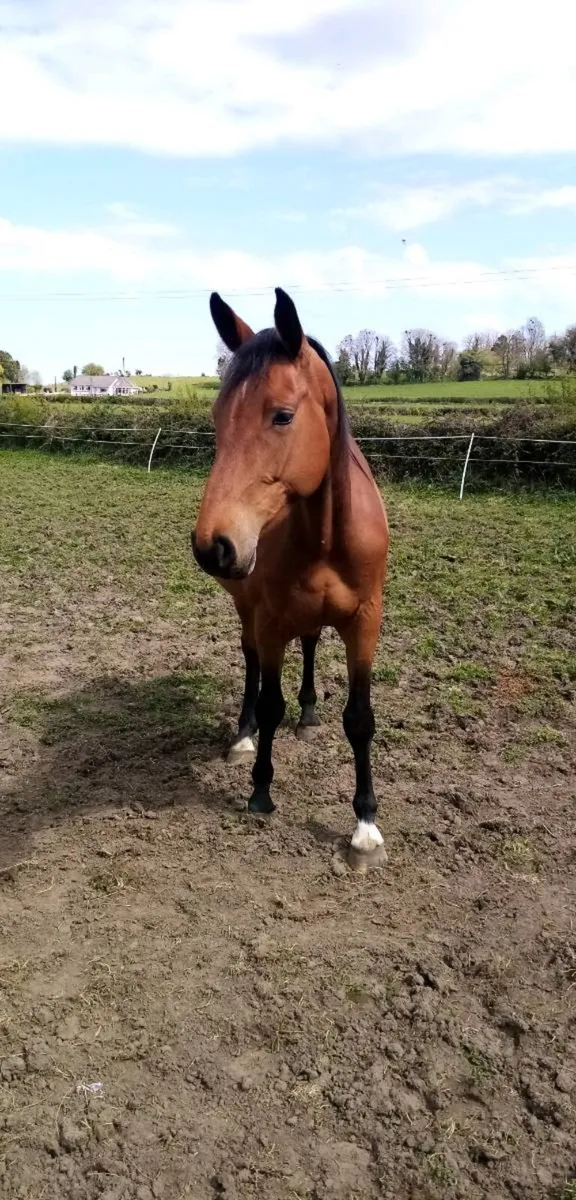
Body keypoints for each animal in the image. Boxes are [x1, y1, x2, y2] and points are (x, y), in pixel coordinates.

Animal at [192, 288, 389, 871]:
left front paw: (365, 827)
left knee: (310, 645)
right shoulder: (271, 618)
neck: (326, 535)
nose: (214, 545)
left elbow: (360, 718)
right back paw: (244, 735)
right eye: (217, 417)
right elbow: (269, 699)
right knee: (252, 662)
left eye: (282, 416)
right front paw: (260, 790)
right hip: (248, 610)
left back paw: (308, 713)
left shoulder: (365, 622)